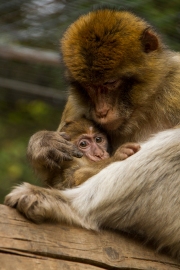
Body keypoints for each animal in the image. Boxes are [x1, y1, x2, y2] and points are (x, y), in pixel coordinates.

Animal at [3, 9, 180, 260]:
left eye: (110, 83)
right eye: (88, 87)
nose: (101, 111)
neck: (142, 105)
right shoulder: (77, 105)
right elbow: (61, 174)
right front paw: (42, 143)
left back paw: (70, 207)